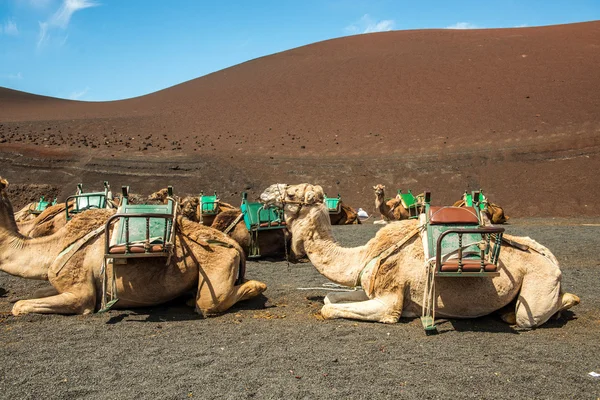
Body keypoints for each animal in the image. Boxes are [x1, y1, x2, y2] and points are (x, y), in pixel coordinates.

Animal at [0, 177, 264, 316]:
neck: (51, 249)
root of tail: (233, 246)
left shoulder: (81, 294)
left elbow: (19, 306)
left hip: (216, 270)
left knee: (211, 302)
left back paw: (257, 286)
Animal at [260, 184, 580, 328]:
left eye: (291, 194)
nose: (264, 192)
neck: (363, 256)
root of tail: (552, 260)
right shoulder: (371, 288)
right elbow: (329, 299)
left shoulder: (389, 301)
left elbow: (329, 309)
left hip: (538, 289)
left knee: (537, 313)